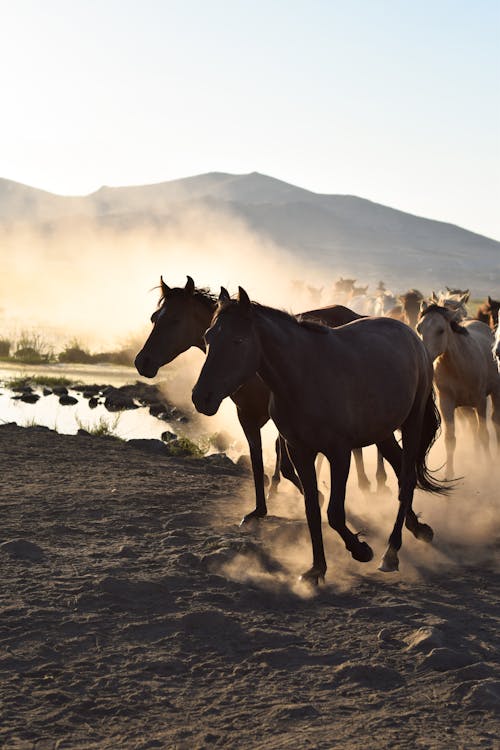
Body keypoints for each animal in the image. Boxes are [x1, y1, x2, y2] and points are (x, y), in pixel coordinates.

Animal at [135, 276, 388, 528]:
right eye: (154, 318)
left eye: (175, 320)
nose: (142, 362)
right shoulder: (246, 414)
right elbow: (257, 458)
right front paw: (260, 508)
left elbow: (284, 464)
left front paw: (315, 494)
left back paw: (375, 482)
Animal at [192, 284, 446, 584]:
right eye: (208, 337)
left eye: (238, 340)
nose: (201, 397)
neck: (304, 377)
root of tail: (411, 335)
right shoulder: (300, 451)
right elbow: (312, 507)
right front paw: (316, 569)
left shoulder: (339, 454)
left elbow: (334, 512)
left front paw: (360, 550)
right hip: (382, 433)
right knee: (399, 471)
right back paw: (417, 528)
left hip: (411, 423)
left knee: (406, 479)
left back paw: (391, 552)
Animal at [416, 302, 498, 478]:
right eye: (419, 328)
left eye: (441, 330)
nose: (424, 355)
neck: (458, 366)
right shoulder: (446, 403)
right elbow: (450, 438)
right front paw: (449, 474)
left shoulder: (480, 401)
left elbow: (484, 434)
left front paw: (489, 468)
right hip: (466, 407)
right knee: (472, 427)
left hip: (495, 393)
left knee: (495, 421)